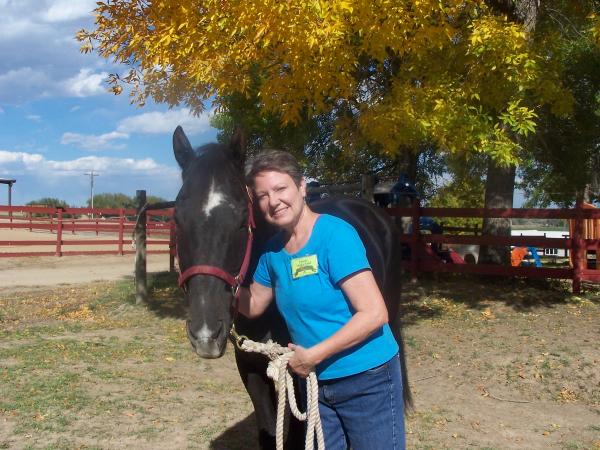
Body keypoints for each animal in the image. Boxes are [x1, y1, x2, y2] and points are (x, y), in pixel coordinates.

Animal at [171, 126, 410, 450]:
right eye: (177, 219)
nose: (206, 334)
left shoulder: (299, 377)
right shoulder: (251, 370)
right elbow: (268, 433)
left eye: (242, 220)